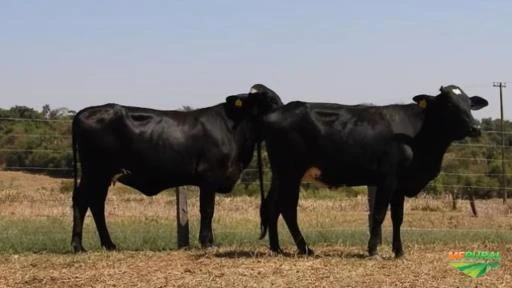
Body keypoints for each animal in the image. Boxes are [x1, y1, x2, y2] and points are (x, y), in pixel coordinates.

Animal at [70, 84, 282, 252]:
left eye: (277, 101)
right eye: (265, 103)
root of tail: (84, 112)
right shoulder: (209, 177)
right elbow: (207, 210)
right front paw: (207, 243)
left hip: (102, 175)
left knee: (95, 202)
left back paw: (108, 244)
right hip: (95, 172)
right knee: (83, 200)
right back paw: (79, 246)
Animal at [260, 85, 488, 256]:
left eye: (469, 104)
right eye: (449, 104)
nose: (476, 128)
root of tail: (278, 110)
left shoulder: (400, 184)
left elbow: (398, 217)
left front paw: (399, 251)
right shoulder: (388, 179)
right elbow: (378, 214)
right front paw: (373, 250)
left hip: (280, 175)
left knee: (272, 205)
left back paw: (277, 248)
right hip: (290, 173)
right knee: (288, 208)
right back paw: (305, 248)